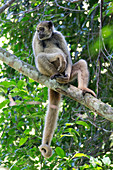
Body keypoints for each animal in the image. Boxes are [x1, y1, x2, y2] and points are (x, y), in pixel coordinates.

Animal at [32, 20, 96, 158]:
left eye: (41, 29)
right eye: (37, 30)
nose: (39, 33)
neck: (48, 38)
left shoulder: (58, 35)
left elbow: (67, 55)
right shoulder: (36, 39)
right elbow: (42, 54)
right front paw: (59, 56)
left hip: (70, 74)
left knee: (81, 64)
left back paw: (79, 86)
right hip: (45, 73)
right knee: (40, 57)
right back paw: (55, 75)